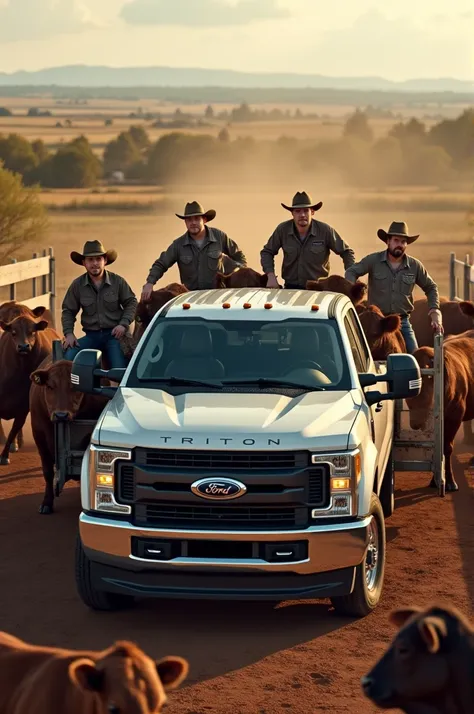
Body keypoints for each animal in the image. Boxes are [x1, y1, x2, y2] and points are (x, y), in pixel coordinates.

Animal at [0, 314, 60, 464]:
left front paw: (4, 455)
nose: (23, 346)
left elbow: (14, 429)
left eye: (32, 332)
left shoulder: (22, 409)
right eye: (13, 332)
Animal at [30, 358, 109, 516]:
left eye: (75, 387)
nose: (61, 415)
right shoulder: (39, 437)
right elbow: (47, 472)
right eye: (49, 386)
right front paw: (46, 503)